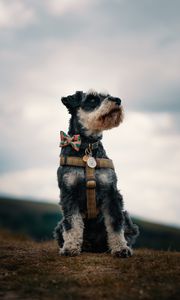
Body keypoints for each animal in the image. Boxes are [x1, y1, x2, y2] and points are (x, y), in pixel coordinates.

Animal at [54, 89, 139, 258]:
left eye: (107, 95)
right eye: (92, 99)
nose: (117, 100)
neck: (87, 147)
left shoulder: (111, 192)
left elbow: (115, 223)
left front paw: (121, 248)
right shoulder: (69, 193)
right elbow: (72, 223)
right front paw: (70, 247)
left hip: (128, 219)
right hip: (59, 226)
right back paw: (83, 245)